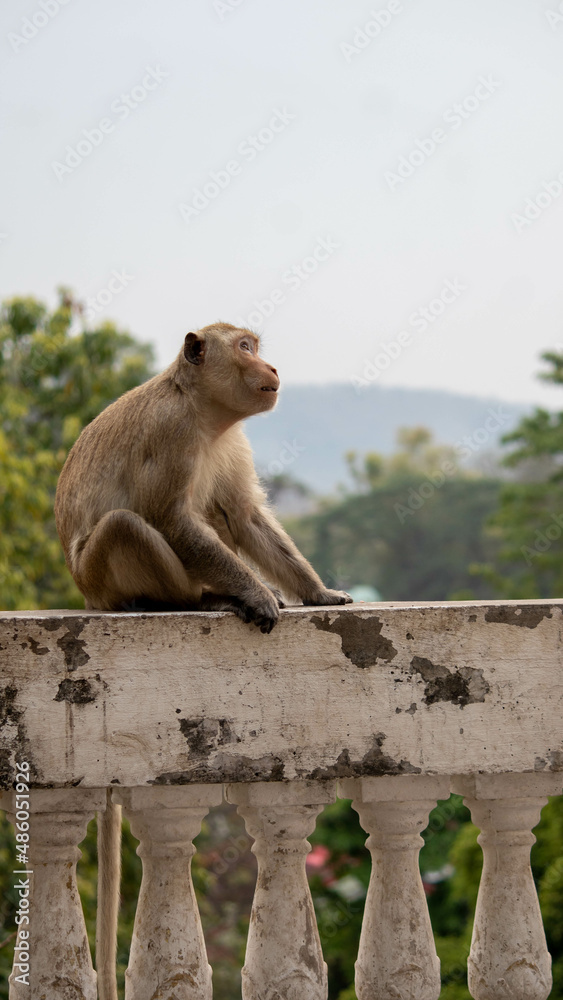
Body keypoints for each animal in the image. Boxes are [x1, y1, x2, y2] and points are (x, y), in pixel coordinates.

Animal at [54, 322, 352, 998]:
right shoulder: (171, 437)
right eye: (243, 346)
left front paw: (316, 593)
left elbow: (242, 517)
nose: (271, 366)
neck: (203, 414)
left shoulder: (230, 445)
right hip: (101, 573)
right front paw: (255, 594)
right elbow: (173, 520)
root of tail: (87, 597)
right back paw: (189, 599)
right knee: (128, 524)